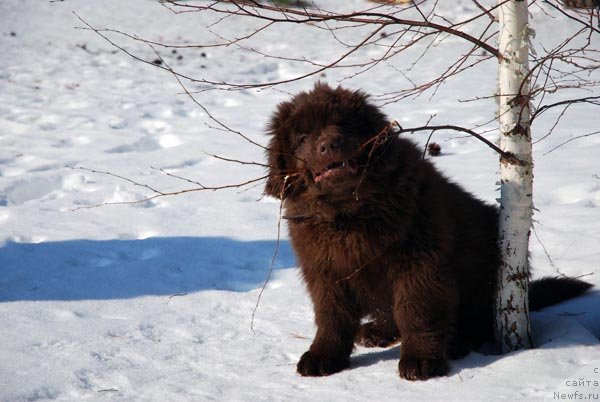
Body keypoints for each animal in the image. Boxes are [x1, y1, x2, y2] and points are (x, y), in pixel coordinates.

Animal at [264, 82, 592, 380]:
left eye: (344, 123)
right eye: (302, 137)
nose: (329, 144)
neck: (349, 213)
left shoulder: (420, 260)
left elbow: (416, 310)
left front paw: (420, 362)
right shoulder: (325, 269)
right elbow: (332, 316)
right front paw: (322, 356)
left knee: (477, 320)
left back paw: (458, 341)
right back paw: (376, 331)